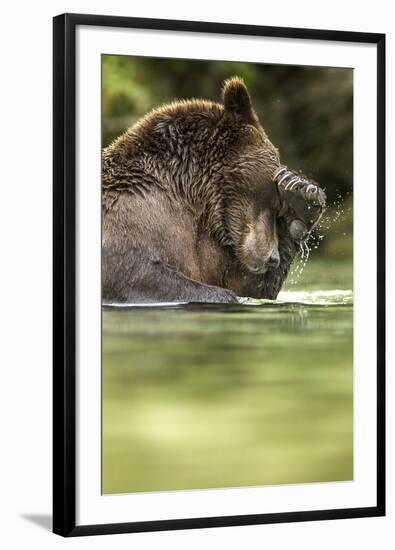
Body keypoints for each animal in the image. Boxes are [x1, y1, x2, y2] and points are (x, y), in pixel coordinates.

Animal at [103, 76, 326, 306]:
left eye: (279, 208)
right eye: (273, 202)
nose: (273, 258)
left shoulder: (210, 245)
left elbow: (244, 283)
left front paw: (302, 196)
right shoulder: (132, 219)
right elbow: (137, 273)